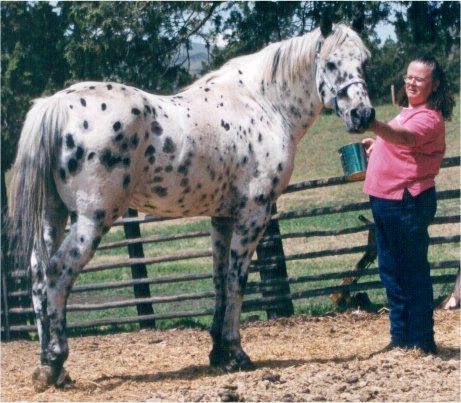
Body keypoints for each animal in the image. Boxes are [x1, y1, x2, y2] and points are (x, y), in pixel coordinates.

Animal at [6, 19, 374, 392]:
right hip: (91, 219)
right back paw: (55, 361)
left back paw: (48, 367)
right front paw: (236, 353)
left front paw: (219, 353)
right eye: (331, 64)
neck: (263, 105)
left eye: (364, 62)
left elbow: (220, 279)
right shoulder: (253, 213)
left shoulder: (222, 217)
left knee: (38, 273)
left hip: (52, 215)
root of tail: (55, 105)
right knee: (57, 272)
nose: (362, 114)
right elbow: (238, 279)